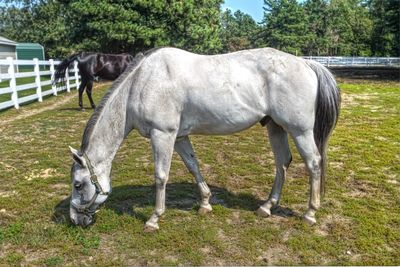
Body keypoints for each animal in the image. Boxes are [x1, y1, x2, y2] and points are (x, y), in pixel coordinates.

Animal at [68, 48, 340, 232]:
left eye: (78, 185)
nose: (75, 220)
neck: (142, 83)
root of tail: (307, 64)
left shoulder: (162, 134)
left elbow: (161, 176)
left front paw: (154, 219)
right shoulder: (179, 137)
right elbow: (193, 166)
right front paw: (205, 203)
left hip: (300, 131)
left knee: (313, 164)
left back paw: (310, 213)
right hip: (276, 128)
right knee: (282, 163)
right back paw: (267, 207)